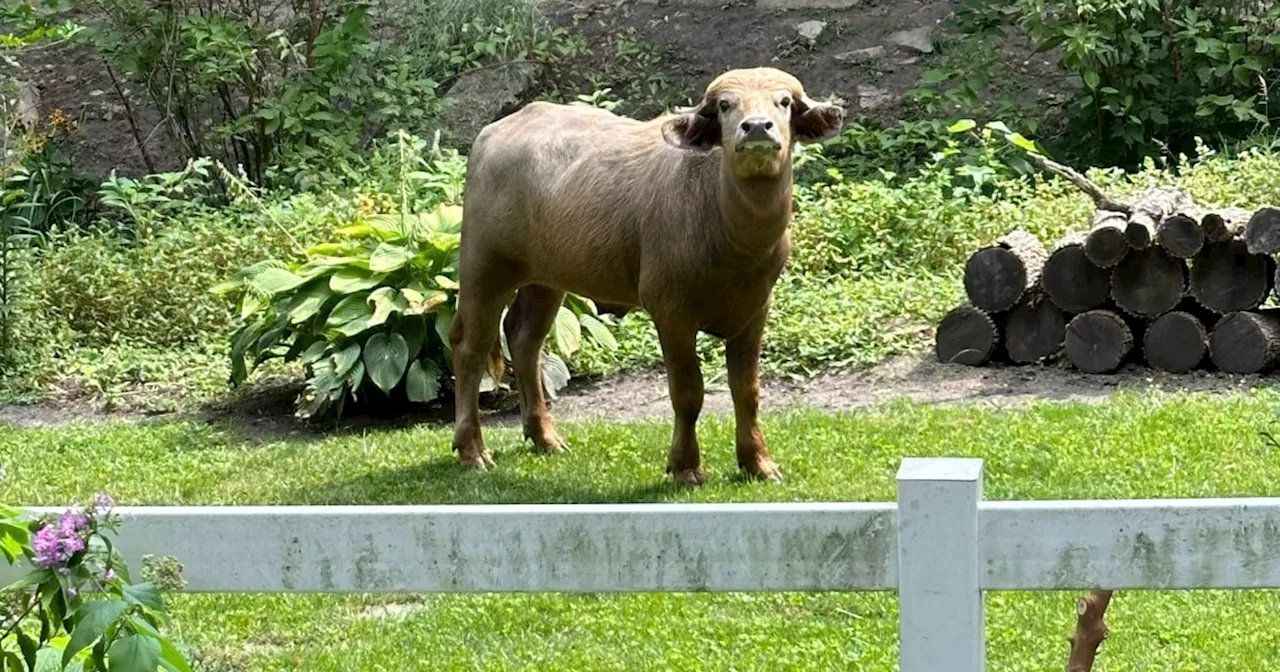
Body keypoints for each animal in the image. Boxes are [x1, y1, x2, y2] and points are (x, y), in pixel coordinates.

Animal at [453, 66, 849, 481]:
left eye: (783, 102)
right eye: (725, 105)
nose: (756, 127)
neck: (731, 236)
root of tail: (493, 133)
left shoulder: (755, 311)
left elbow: (747, 391)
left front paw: (758, 461)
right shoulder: (671, 311)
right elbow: (688, 392)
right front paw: (685, 466)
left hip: (544, 277)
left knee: (525, 338)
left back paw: (545, 437)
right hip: (484, 266)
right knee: (470, 348)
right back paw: (472, 450)